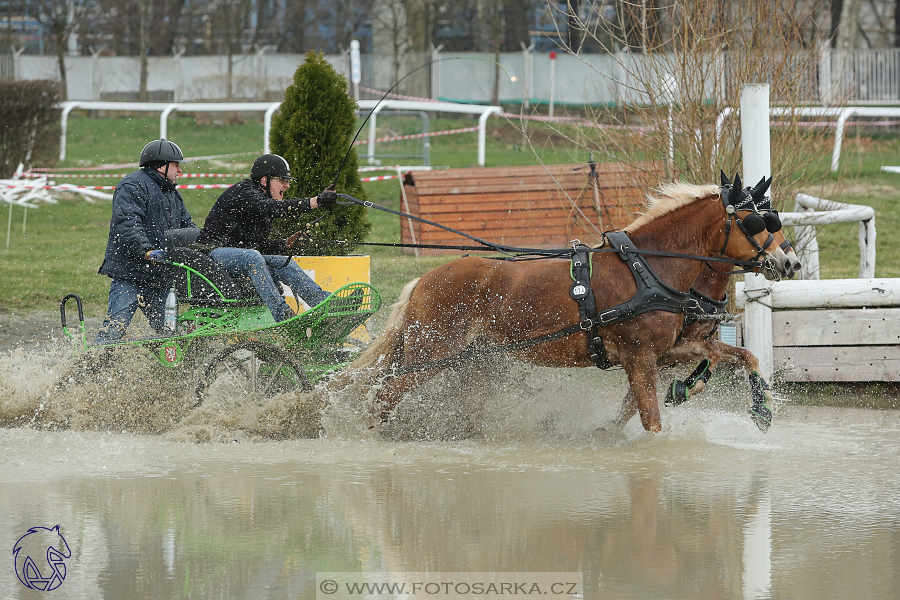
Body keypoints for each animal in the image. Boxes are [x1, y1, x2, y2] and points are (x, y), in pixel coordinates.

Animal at [350, 177, 788, 432]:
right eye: (755, 222)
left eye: (774, 219)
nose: (788, 262)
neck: (648, 268)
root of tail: (423, 281)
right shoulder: (640, 357)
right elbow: (650, 419)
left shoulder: (667, 351)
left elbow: (741, 355)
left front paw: (762, 409)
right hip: (433, 354)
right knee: (385, 394)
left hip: (472, 362)